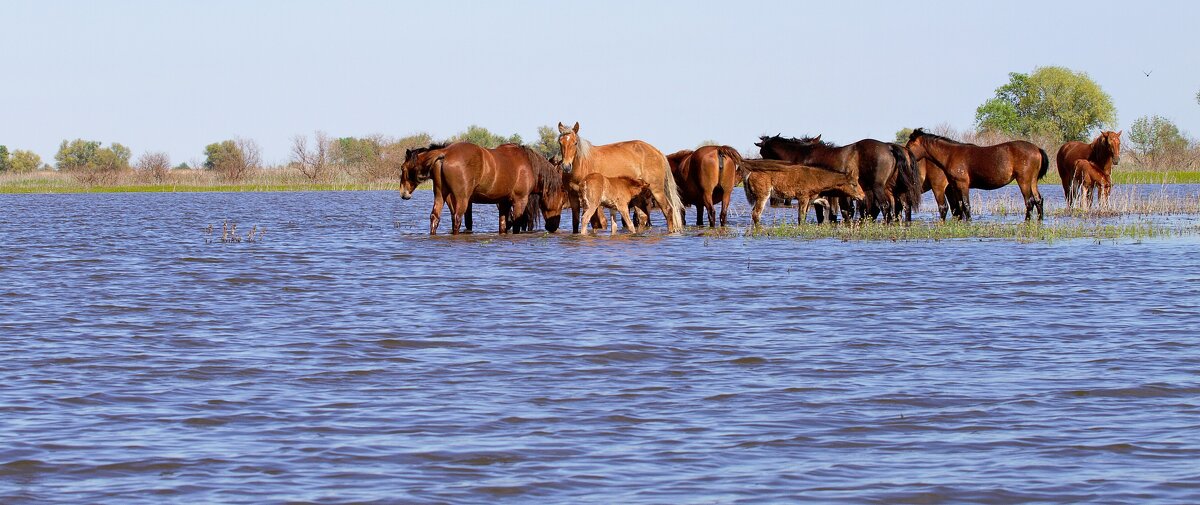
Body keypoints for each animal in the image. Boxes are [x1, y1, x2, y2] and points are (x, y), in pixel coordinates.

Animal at [554, 121, 686, 232]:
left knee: (668, 210)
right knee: (642, 217)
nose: (566, 166)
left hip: (656, 190)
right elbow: (575, 222)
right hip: (639, 193)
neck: (582, 165)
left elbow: (595, 223)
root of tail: (658, 152)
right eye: (560, 142)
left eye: (575, 143)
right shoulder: (573, 196)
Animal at [902, 127, 1046, 219]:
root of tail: (1036, 149)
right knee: (1038, 200)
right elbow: (960, 206)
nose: (906, 158)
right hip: (1033, 181)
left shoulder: (962, 185)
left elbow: (966, 206)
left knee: (1029, 202)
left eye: (909, 146)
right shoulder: (954, 187)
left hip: (1023, 181)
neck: (950, 154)